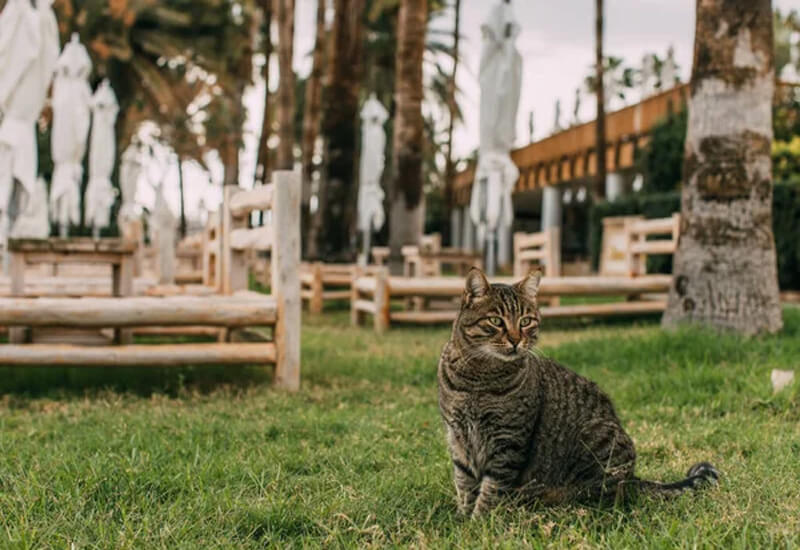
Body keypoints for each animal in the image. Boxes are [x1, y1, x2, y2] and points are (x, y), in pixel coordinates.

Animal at [438, 270, 720, 520]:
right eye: (496, 321)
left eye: (525, 321)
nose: (517, 340)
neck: (477, 380)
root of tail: (633, 478)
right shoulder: (457, 437)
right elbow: (464, 483)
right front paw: (463, 517)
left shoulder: (508, 441)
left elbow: (492, 489)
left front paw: (479, 521)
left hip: (598, 439)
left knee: (609, 496)